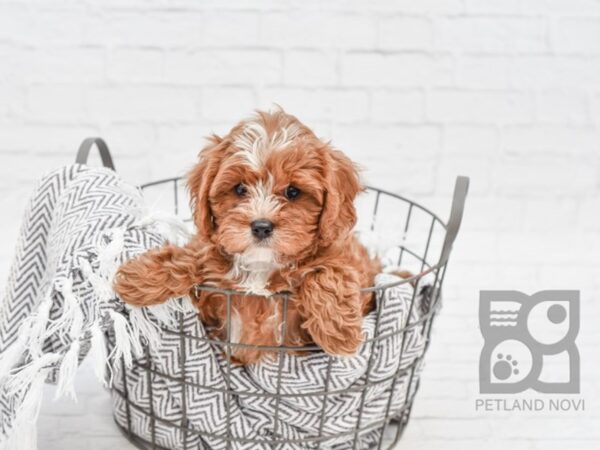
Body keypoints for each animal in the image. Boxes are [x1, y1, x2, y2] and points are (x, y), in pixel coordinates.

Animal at [113, 110, 380, 366]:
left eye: (293, 192)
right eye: (240, 189)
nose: (261, 226)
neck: (261, 265)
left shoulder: (351, 263)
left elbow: (328, 271)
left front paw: (339, 331)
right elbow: (191, 256)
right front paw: (137, 277)